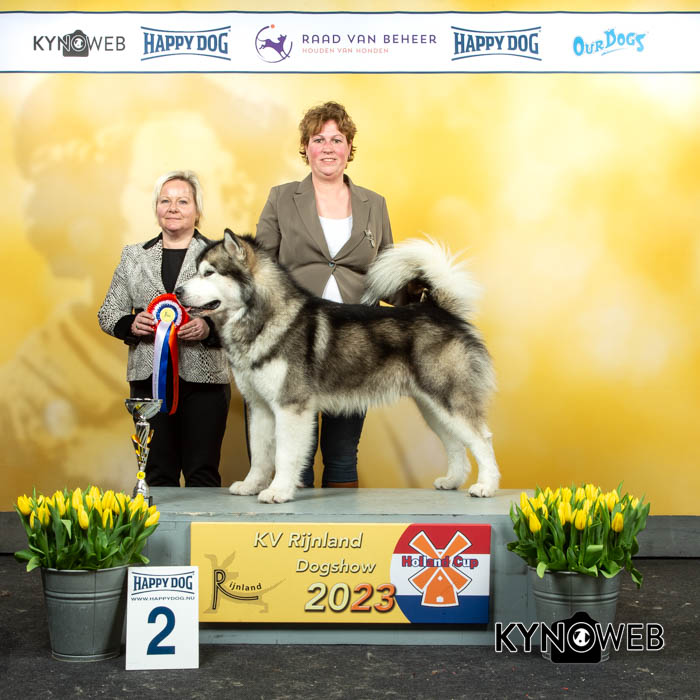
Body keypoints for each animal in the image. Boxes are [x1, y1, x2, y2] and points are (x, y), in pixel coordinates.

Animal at [176, 230, 499, 503]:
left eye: (209, 273)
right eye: (198, 271)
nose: (177, 291)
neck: (263, 318)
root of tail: (438, 310)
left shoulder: (290, 406)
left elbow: (284, 454)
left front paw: (279, 491)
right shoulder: (260, 407)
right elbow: (259, 453)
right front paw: (252, 485)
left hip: (449, 398)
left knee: (481, 439)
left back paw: (486, 485)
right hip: (432, 407)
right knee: (455, 442)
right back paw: (452, 480)